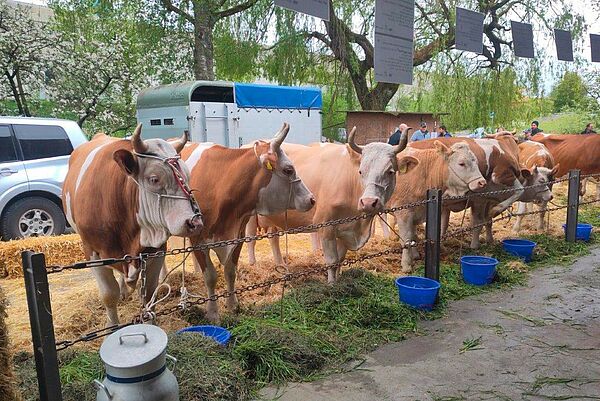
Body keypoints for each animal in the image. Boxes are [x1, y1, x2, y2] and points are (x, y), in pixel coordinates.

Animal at [62, 125, 204, 324]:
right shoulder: (91, 251)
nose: (194, 221)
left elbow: (149, 296)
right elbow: (108, 295)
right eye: (154, 179)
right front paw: (112, 326)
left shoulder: (155, 251)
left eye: (187, 175)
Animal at [182, 122, 314, 322]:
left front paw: (233, 305)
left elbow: (230, 271)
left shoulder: (238, 236)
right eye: (288, 170)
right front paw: (213, 313)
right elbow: (211, 276)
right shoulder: (198, 240)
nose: (311, 199)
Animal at [244, 127, 418, 282]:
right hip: (250, 215)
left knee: (273, 238)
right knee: (250, 238)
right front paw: (331, 285)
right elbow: (332, 261)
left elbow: (340, 259)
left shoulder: (345, 229)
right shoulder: (326, 226)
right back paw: (252, 265)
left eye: (390, 171)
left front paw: (339, 279)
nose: (368, 202)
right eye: (361, 171)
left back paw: (280, 265)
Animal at [392, 141, 486, 272]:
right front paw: (406, 265)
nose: (482, 182)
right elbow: (406, 239)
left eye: (475, 161)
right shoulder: (403, 212)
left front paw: (414, 255)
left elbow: (414, 235)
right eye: (461, 163)